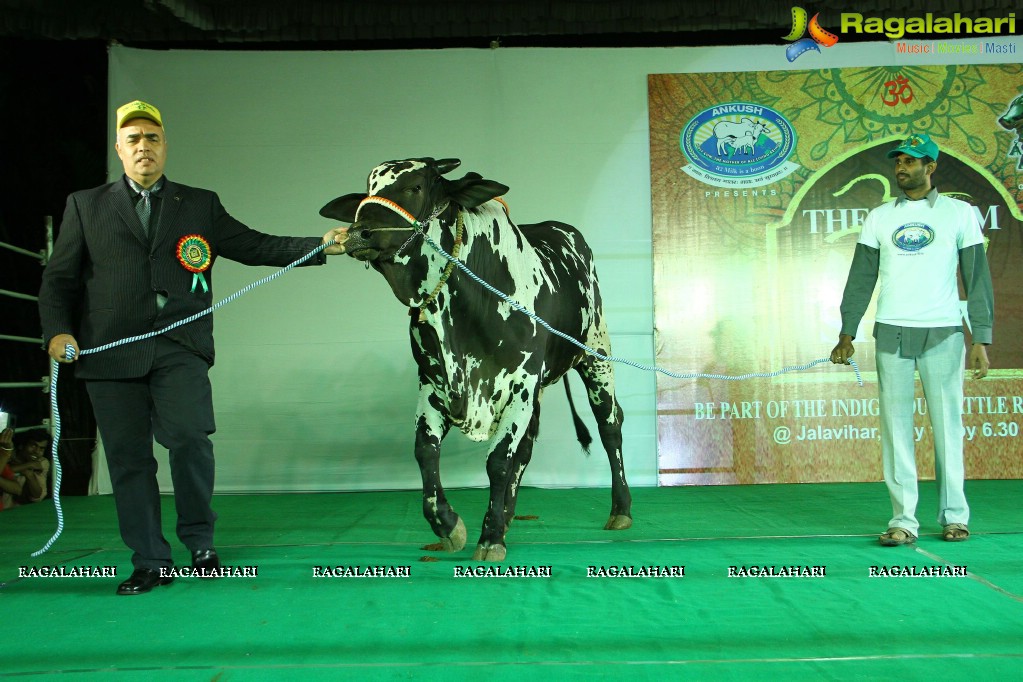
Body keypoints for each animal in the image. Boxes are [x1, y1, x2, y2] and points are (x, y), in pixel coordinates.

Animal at [319, 158, 630, 560]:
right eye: (368, 190)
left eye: (416, 186)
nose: (359, 233)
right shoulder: (433, 384)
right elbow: (425, 450)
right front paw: (449, 524)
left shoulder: (519, 384)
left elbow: (498, 461)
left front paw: (490, 537)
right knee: (527, 447)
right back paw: (508, 514)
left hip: (596, 355)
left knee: (610, 426)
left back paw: (620, 510)